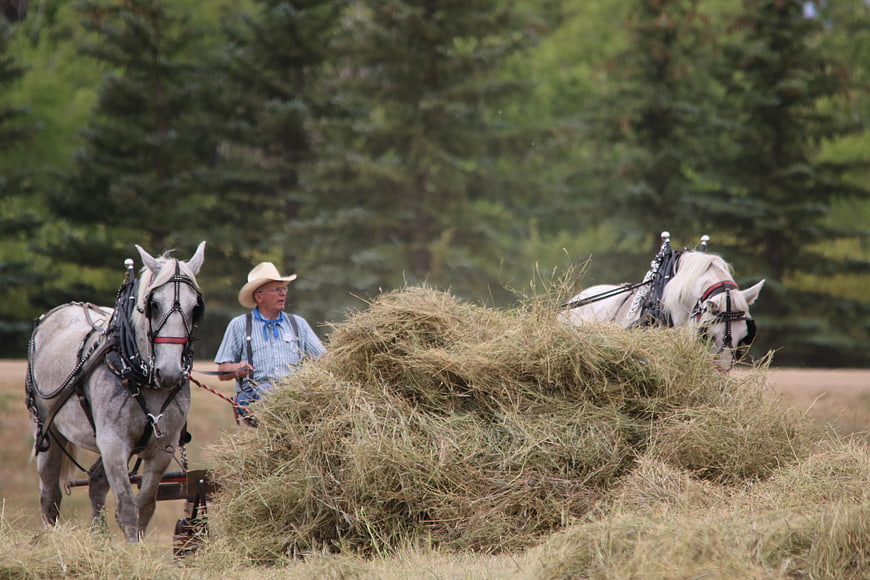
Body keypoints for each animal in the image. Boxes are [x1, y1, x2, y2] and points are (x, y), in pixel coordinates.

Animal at [25, 241, 206, 542]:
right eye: (153, 305)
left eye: (196, 308)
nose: (169, 372)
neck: (141, 375)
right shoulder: (113, 442)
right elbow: (127, 507)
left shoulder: (163, 448)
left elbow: (145, 505)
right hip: (48, 430)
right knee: (49, 496)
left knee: (96, 481)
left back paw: (99, 537)